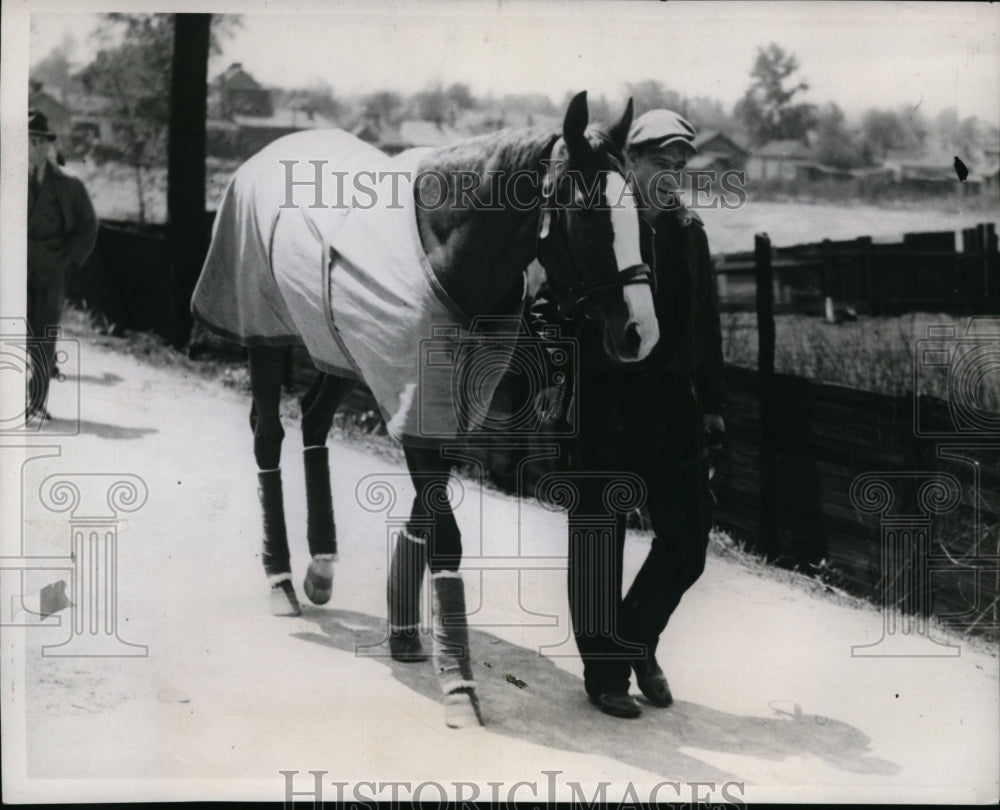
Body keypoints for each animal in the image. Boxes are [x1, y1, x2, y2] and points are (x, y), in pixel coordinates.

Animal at [190, 90, 660, 724]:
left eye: (639, 212)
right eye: (587, 212)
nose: (641, 332)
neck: (451, 253)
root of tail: (266, 153)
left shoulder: (451, 410)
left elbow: (425, 521)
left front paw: (408, 634)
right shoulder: (418, 410)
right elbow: (446, 535)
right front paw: (458, 683)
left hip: (336, 347)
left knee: (314, 420)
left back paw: (321, 566)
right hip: (262, 335)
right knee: (268, 434)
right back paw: (281, 578)